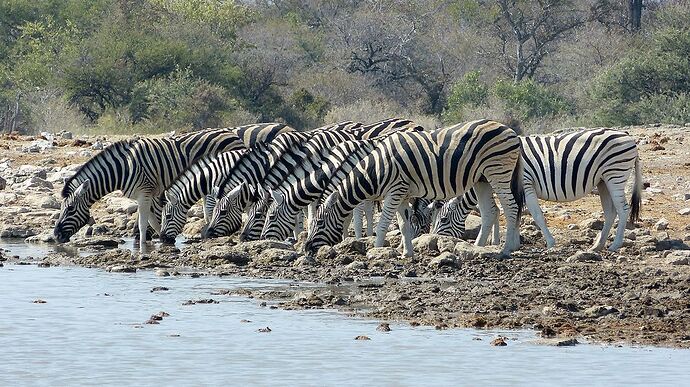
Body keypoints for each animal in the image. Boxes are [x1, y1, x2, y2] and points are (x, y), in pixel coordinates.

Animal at [53, 123, 288, 244]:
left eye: (70, 209)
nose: (56, 235)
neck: (123, 167)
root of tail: (230, 133)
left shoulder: (145, 192)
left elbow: (144, 221)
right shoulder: (149, 194)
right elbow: (153, 220)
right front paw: (159, 238)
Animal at [302, 118, 520, 258]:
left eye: (319, 223)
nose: (306, 248)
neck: (376, 170)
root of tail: (511, 131)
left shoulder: (394, 191)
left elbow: (383, 224)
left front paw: (377, 251)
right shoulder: (402, 194)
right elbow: (403, 225)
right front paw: (406, 253)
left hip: (498, 173)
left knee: (511, 208)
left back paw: (506, 249)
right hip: (482, 179)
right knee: (490, 211)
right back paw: (477, 248)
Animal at [430, 129, 640, 253]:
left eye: (443, 220)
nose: (436, 242)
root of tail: (627, 135)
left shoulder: (525, 184)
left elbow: (534, 214)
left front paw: (550, 244)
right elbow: (514, 214)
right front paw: (513, 243)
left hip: (615, 174)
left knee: (623, 209)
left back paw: (614, 245)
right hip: (603, 180)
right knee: (611, 212)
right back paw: (598, 245)